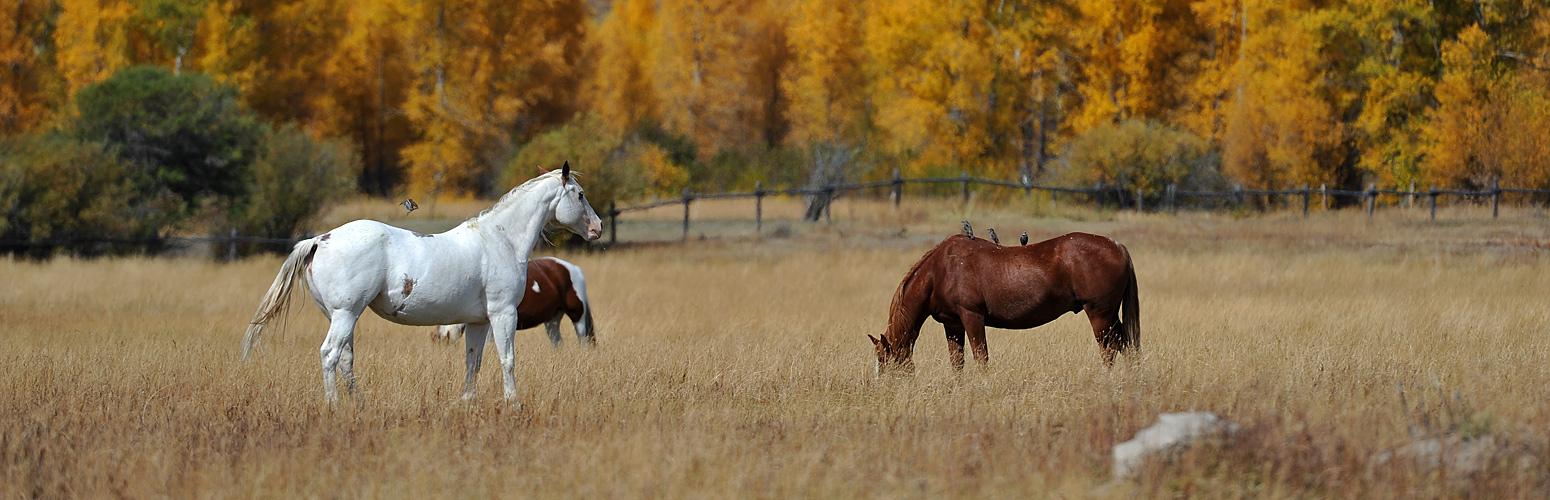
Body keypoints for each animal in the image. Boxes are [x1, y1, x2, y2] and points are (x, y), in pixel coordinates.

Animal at [874, 233, 1140, 376]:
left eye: (884, 362)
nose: (883, 391)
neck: (942, 270)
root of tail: (1118, 247)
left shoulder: (972, 317)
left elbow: (981, 358)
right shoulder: (953, 326)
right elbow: (957, 363)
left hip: (1099, 315)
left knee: (1109, 349)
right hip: (1111, 316)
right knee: (1125, 344)